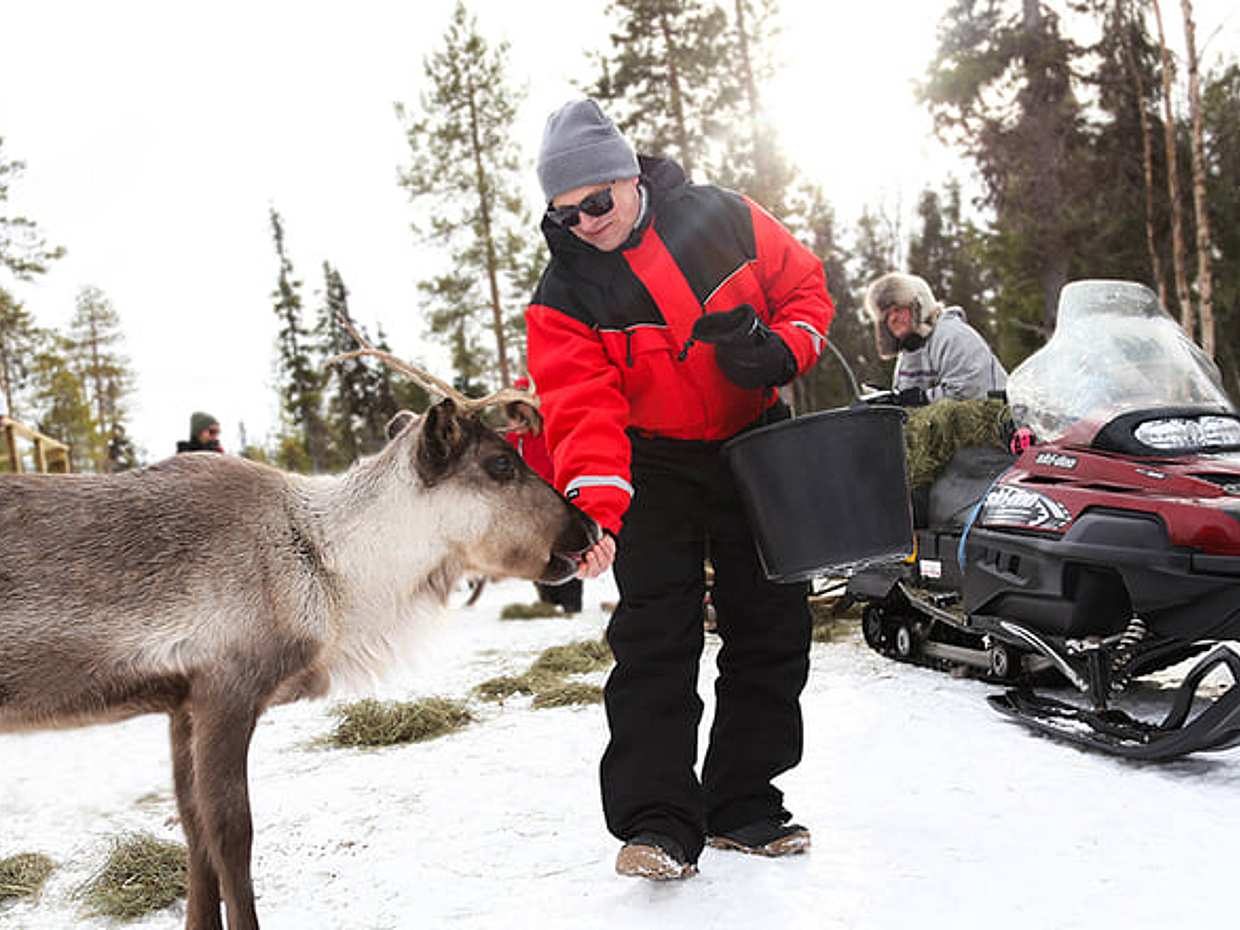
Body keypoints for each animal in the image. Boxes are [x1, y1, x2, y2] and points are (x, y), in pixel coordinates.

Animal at [0, 322, 598, 930]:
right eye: (501, 464)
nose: (589, 525)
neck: (331, 572)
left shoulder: (181, 701)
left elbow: (193, 832)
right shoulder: (227, 688)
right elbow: (231, 835)